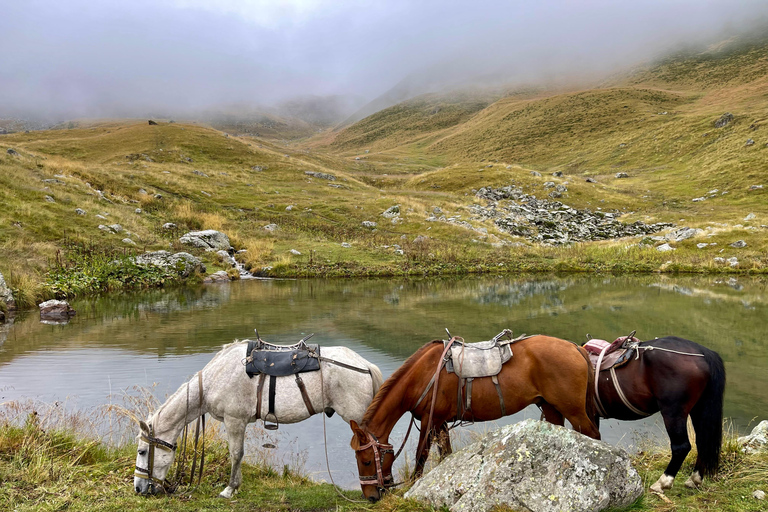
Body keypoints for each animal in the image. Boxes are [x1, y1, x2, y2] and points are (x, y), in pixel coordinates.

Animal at [135, 342, 384, 498]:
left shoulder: (234, 420)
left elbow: (236, 454)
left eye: (142, 451)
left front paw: (229, 489)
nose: (138, 488)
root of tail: (364, 365)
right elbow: (238, 455)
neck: (215, 378)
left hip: (357, 419)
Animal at [352, 334, 604, 502]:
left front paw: (414, 485)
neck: (423, 375)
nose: (371, 496)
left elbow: (421, 455)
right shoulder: (440, 423)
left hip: (574, 411)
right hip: (551, 408)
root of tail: (575, 348)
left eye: (366, 461)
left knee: (592, 436)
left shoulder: (429, 421)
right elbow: (446, 454)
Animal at [592, 334, 728, 494]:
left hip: (673, 412)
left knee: (681, 447)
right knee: (701, 442)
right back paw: (695, 479)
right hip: (699, 409)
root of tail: (704, 353)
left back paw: (663, 482)